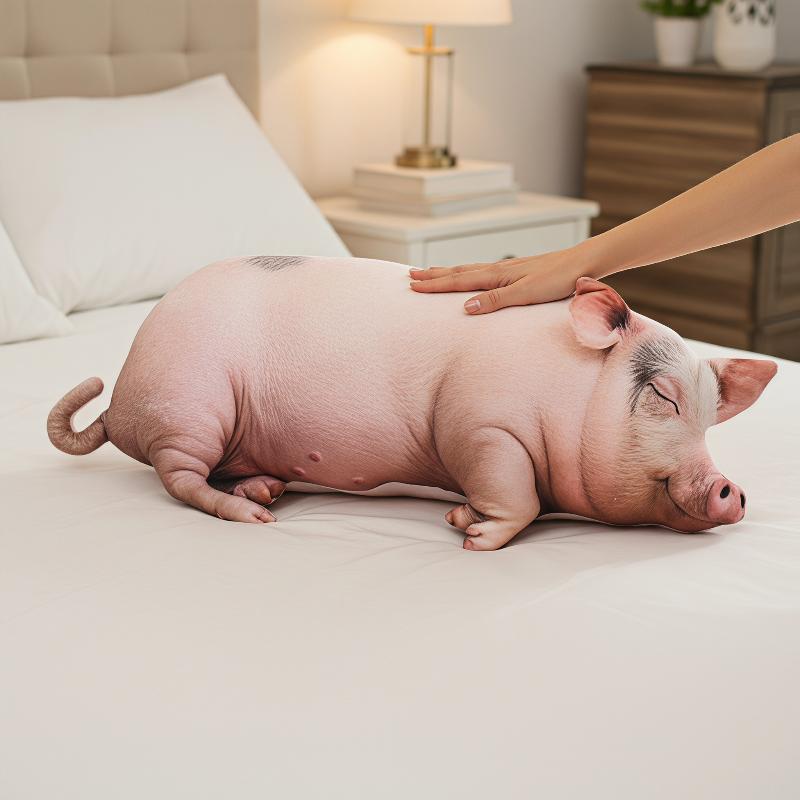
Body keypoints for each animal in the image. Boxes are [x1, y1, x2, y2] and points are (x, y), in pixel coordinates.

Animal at [47, 256, 777, 550]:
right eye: (662, 396)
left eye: (711, 416)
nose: (731, 489)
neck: (572, 394)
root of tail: (120, 400)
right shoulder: (479, 423)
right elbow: (516, 493)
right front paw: (471, 533)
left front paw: (462, 521)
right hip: (190, 405)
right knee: (181, 478)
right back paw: (255, 516)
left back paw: (265, 490)